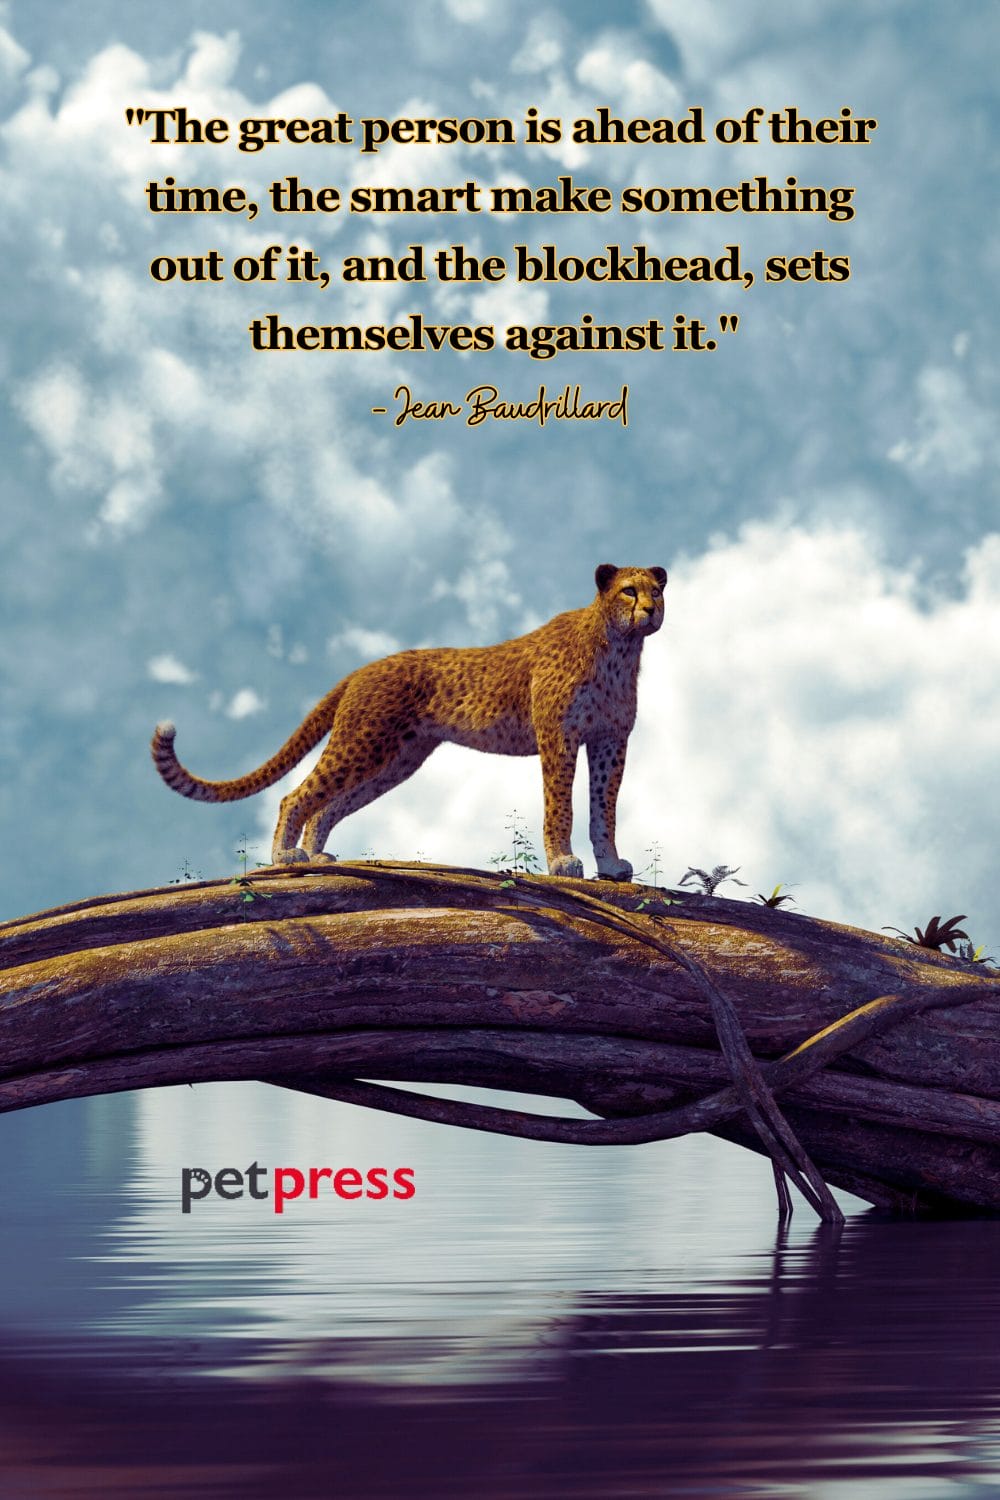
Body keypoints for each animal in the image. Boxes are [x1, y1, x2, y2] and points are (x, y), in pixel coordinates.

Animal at [152, 563, 666, 880]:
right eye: (628, 591)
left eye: (657, 591)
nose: (650, 610)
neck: (620, 649)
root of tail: (364, 668)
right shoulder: (560, 736)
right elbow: (561, 804)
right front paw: (563, 863)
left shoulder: (610, 740)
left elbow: (604, 808)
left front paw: (611, 865)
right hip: (364, 743)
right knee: (296, 796)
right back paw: (286, 857)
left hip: (395, 759)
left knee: (325, 806)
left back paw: (317, 855)